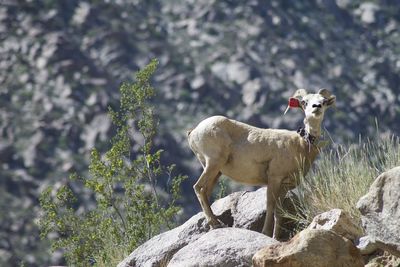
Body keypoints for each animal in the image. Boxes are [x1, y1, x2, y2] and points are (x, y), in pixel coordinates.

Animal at [187, 88, 334, 239]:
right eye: (304, 102)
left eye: (324, 101)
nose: (316, 107)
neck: (300, 145)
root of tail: (194, 131)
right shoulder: (274, 179)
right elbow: (270, 206)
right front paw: (266, 233)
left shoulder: (284, 186)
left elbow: (279, 211)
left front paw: (275, 237)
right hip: (213, 163)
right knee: (198, 187)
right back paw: (215, 224)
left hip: (216, 171)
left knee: (205, 191)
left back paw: (215, 223)